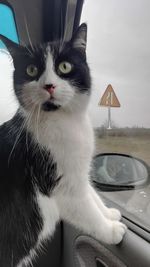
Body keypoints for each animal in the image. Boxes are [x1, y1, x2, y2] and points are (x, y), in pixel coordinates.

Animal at [0, 23, 126, 267]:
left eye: (65, 66)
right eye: (32, 70)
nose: (49, 85)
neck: (66, 122)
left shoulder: (77, 172)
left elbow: (91, 194)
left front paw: (109, 213)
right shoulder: (61, 186)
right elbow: (87, 210)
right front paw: (111, 230)